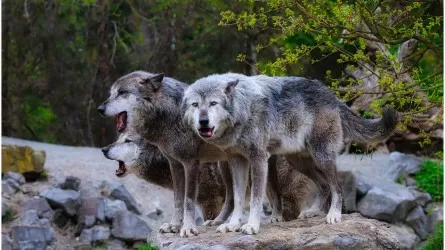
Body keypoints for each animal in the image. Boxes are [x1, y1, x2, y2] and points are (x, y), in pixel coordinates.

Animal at [182, 73, 398, 234]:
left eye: (213, 103)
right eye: (195, 105)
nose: (203, 122)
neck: (243, 107)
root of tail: (331, 95)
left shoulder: (258, 159)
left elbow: (255, 199)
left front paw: (251, 225)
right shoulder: (237, 161)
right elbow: (237, 198)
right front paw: (233, 225)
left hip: (322, 157)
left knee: (336, 187)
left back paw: (333, 215)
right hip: (299, 162)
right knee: (324, 186)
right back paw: (312, 212)